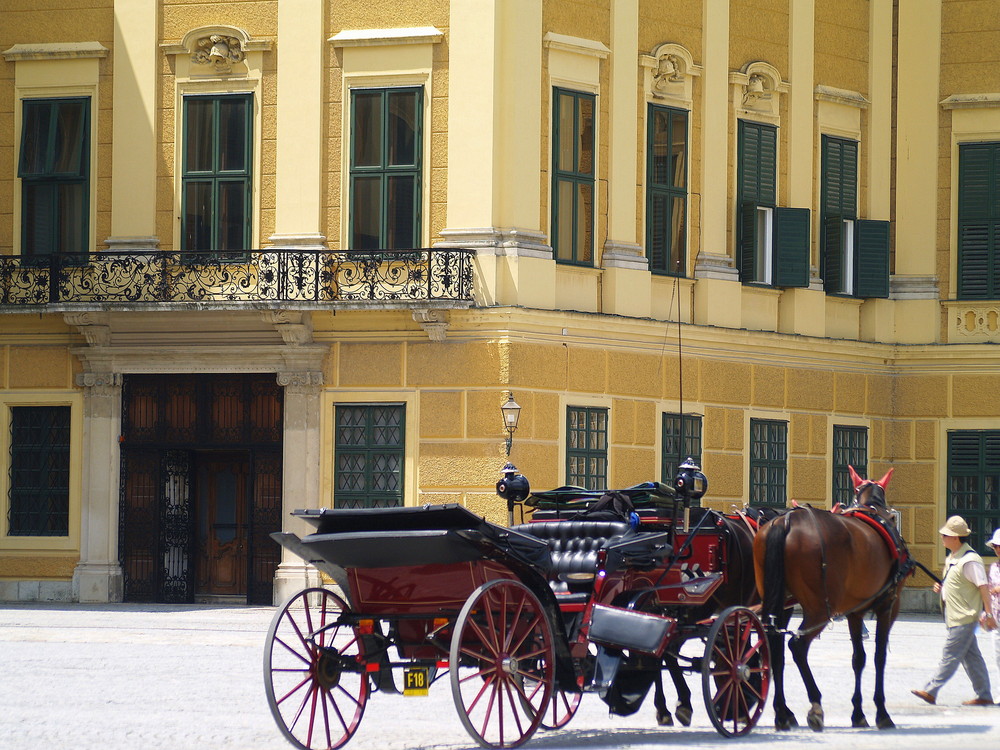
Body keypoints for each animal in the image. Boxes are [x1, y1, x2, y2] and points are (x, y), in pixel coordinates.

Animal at [756, 470, 916, 736]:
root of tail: (785, 521)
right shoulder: (888, 606)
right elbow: (879, 656)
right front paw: (881, 712)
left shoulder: (855, 612)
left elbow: (858, 658)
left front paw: (858, 713)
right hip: (819, 610)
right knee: (797, 646)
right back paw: (815, 705)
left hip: (779, 602)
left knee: (773, 644)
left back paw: (782, 712)